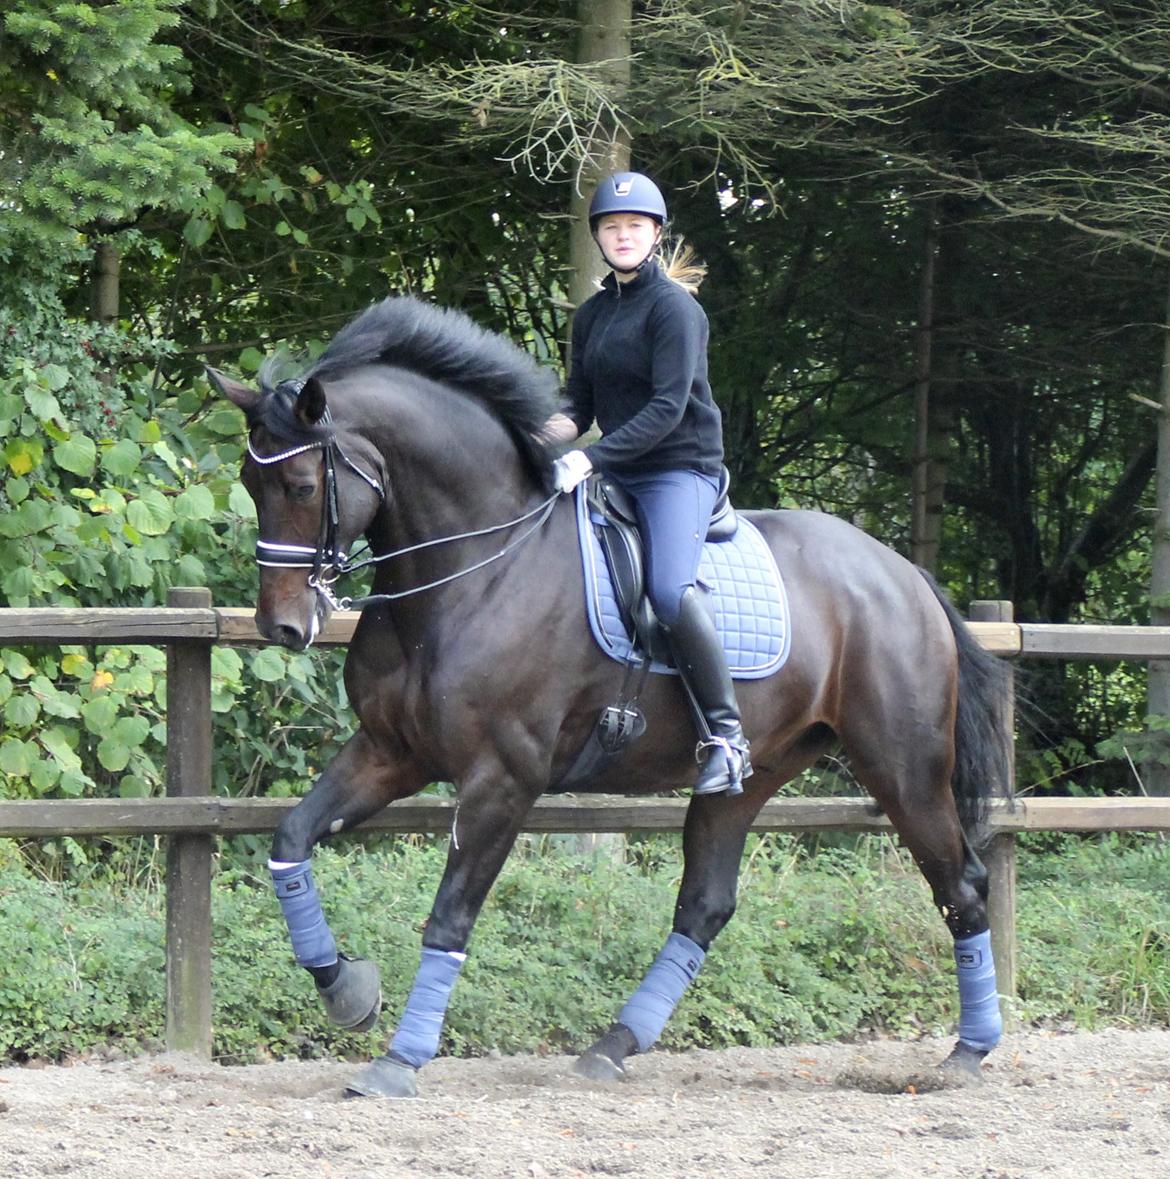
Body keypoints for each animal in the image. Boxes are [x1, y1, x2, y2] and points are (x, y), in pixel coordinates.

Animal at [209, 292, 1014, 1094]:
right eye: (250, 483)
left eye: (302, 486)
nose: (281, 625)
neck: (476, 567)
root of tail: (903, 574)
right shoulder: (390, 752)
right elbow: (289, 841)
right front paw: (347, 988)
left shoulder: (503, 778)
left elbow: (449, 916)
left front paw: (399, 1059)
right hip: (752, 778)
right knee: (706, 904)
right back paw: (614, 1044)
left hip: (903, 769)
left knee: (962, 886)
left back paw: (970, 1050)